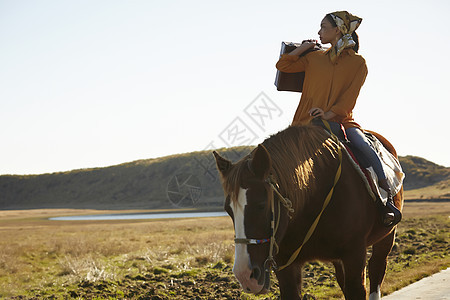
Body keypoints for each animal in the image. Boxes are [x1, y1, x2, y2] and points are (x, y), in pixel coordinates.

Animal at [213, 123, 402, 298]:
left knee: (377, 268)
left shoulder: (354, 257)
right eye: (228, 210)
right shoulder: (287, 267)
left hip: (386, 238)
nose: (244, 275)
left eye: (261, 204)